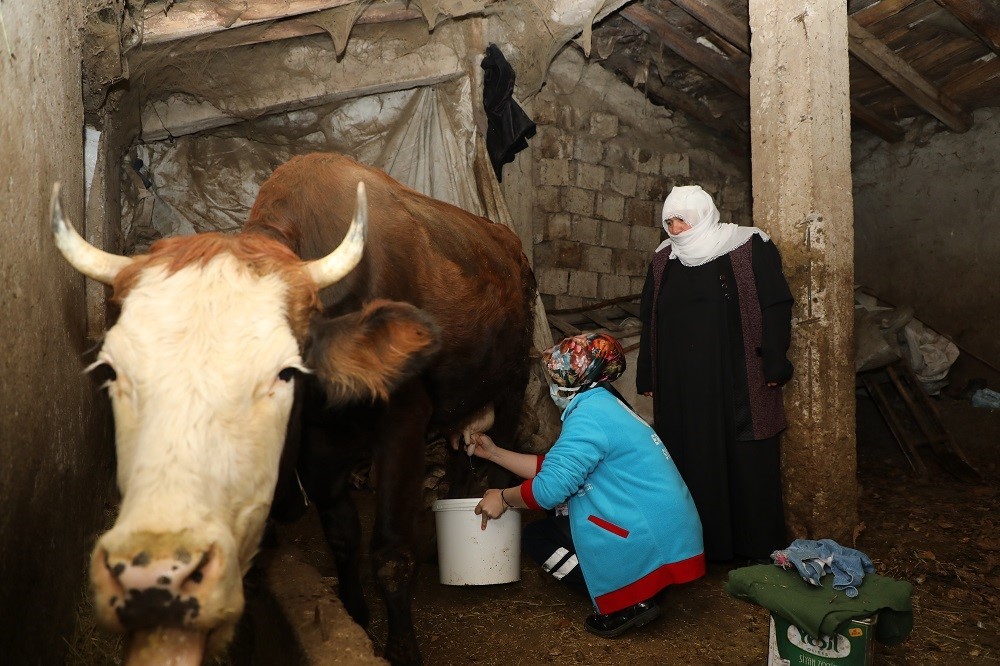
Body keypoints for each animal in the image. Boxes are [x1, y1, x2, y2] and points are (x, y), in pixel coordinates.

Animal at [50, 152, 536, 664]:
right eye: (119, 371)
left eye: (283, 371)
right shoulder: (318, 452)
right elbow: (343, 535)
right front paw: (354, 613)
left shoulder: (402, 423)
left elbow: (389, 553)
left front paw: (401, 648)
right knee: (463, 459)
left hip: (512, 382)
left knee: (499, 454)